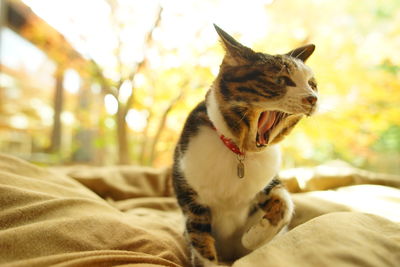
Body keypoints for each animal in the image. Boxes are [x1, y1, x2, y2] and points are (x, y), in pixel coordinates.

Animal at [172, 24, 318, 266]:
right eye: (281, 80)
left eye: (312, 84)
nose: (313, 98)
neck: (240, 153)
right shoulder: (192, 200)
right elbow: (201, 242)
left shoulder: (267, 181)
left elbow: (285, 203)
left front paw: (254, 238)